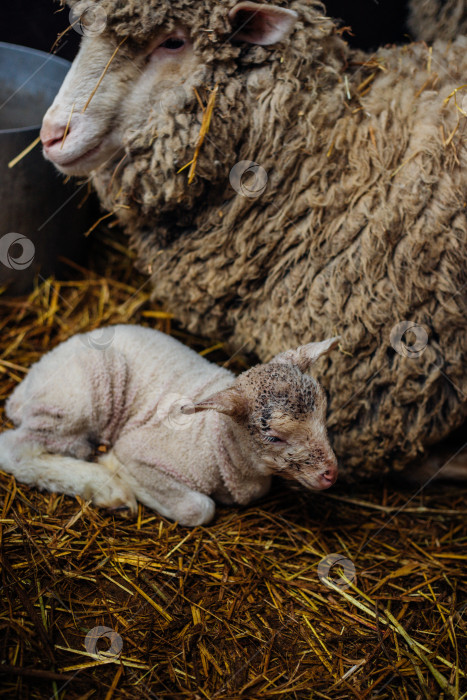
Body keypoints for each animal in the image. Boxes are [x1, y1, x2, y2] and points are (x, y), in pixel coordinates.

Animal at [0, 326, 340, 524]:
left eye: (324, 414)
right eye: (274, 436)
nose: (330, 474)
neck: (217, 438)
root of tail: (25, 384)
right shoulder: (142, 450)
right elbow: (199, 509)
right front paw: (114, 466)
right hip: (74, 400)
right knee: (15, 451)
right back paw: (108, 488)